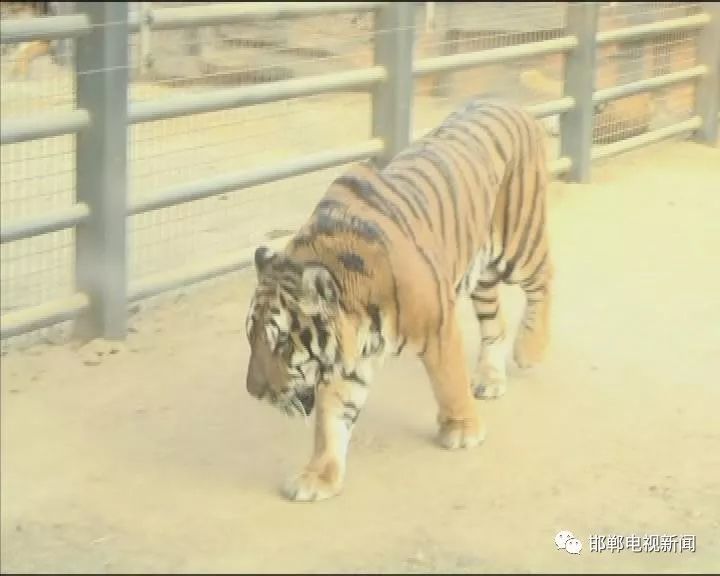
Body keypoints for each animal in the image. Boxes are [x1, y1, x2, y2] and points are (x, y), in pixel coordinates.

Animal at [246, 97, 552, 502]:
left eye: (281, 342)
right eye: (250, 338)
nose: (253, 392)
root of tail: (508, 101)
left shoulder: (439, 327)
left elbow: (449, 382)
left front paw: (462, 429)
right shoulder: (345, 363)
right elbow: (331, 420)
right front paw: (318, 476)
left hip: (519, 243)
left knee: (545, 278)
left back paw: (530, 349)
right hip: (482, 271)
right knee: (495, 323)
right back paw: (490, 379)